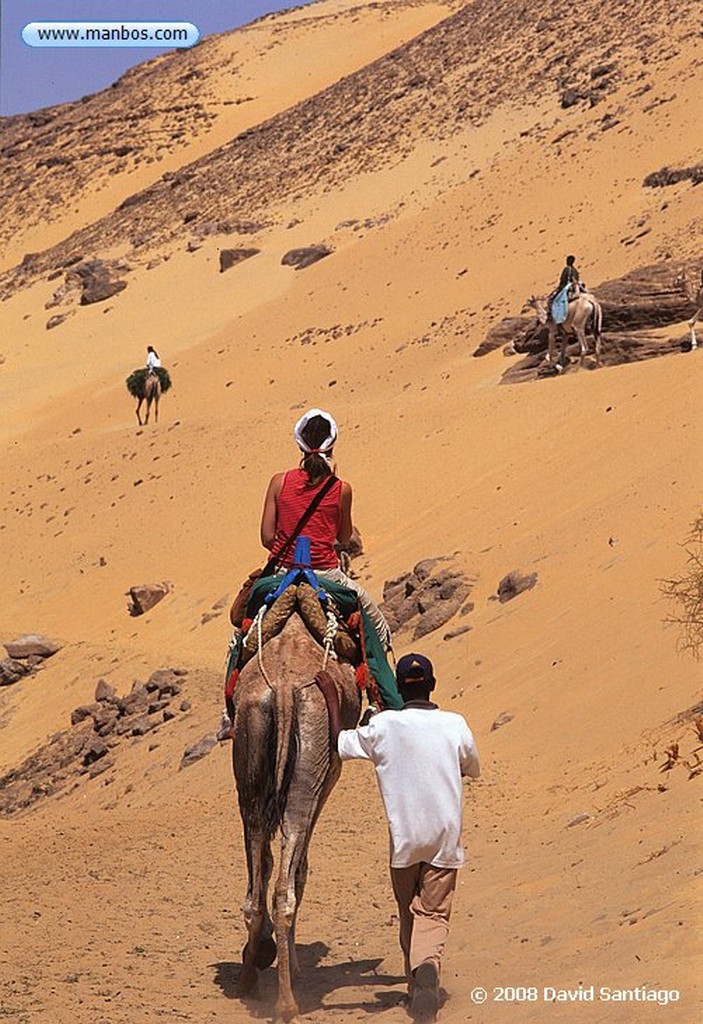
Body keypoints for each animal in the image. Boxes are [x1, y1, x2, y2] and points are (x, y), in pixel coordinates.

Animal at [232, 610, 362, 1019]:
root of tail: (286, 687)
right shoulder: (329, 772)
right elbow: (301, 868)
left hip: (250, 741)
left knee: (256, 881)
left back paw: (249, 981)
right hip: (313, 751)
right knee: (286, 884)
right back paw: (287, 1003)